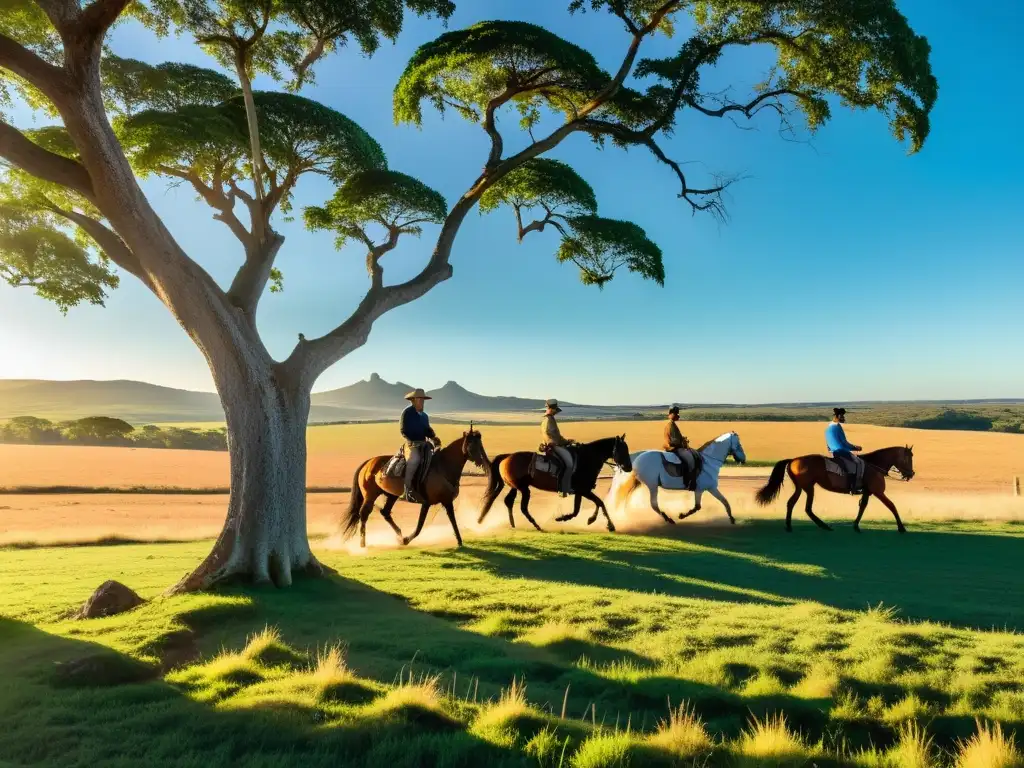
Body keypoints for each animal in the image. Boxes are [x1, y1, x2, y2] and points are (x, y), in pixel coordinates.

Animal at [342, 428, 489, 548]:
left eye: (481, 444)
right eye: (471, 444)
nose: (483, 461)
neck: (442, 467)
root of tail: (368, 463)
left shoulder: (446, 501)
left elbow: (452, 520)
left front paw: (459, 541)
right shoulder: (427, 503)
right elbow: (419, 526)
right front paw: (407, 540)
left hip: (391, 495)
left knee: (385, 512)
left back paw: (399, 535)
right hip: (370, 495)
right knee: (364, 514)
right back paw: (363, 544)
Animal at [477, 438, 630, 536]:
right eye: (622, 450)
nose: (628, 467)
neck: (586, 459)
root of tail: (507, 457)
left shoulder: (580, 491)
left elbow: (580, 509)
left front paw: (566, 518)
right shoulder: (584, 490)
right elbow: (599, 503)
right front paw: (607, 525)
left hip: (516, 487)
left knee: (508, 501)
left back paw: (513, 524)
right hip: (524, 489)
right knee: (522, 507)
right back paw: (537, 526)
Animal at [606, 434, 745, 528]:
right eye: (739, 445)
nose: (743, 459)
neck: (708, 461)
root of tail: (638, 456)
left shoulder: (710, 488)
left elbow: (724, 502)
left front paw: (732, 519)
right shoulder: (703, 489)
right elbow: (698, 507)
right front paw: (681, 515)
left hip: (638, 483)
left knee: (626, 497)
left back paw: (623, 514)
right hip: (652, 486)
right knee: (653, 504)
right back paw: (669, 519)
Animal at [753, 448, 921, 532]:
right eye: (908, 457)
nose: (911, 474)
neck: (874, 465)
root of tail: (794, 460)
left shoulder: (868, 492)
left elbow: (862, 507)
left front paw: (856, 526)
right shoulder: (879, 492)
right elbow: (892, 506)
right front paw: (901, 527)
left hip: (801, 487)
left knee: (791, 503)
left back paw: (789, 526)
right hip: (808, 487)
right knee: (807, 508)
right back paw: (824, 526)